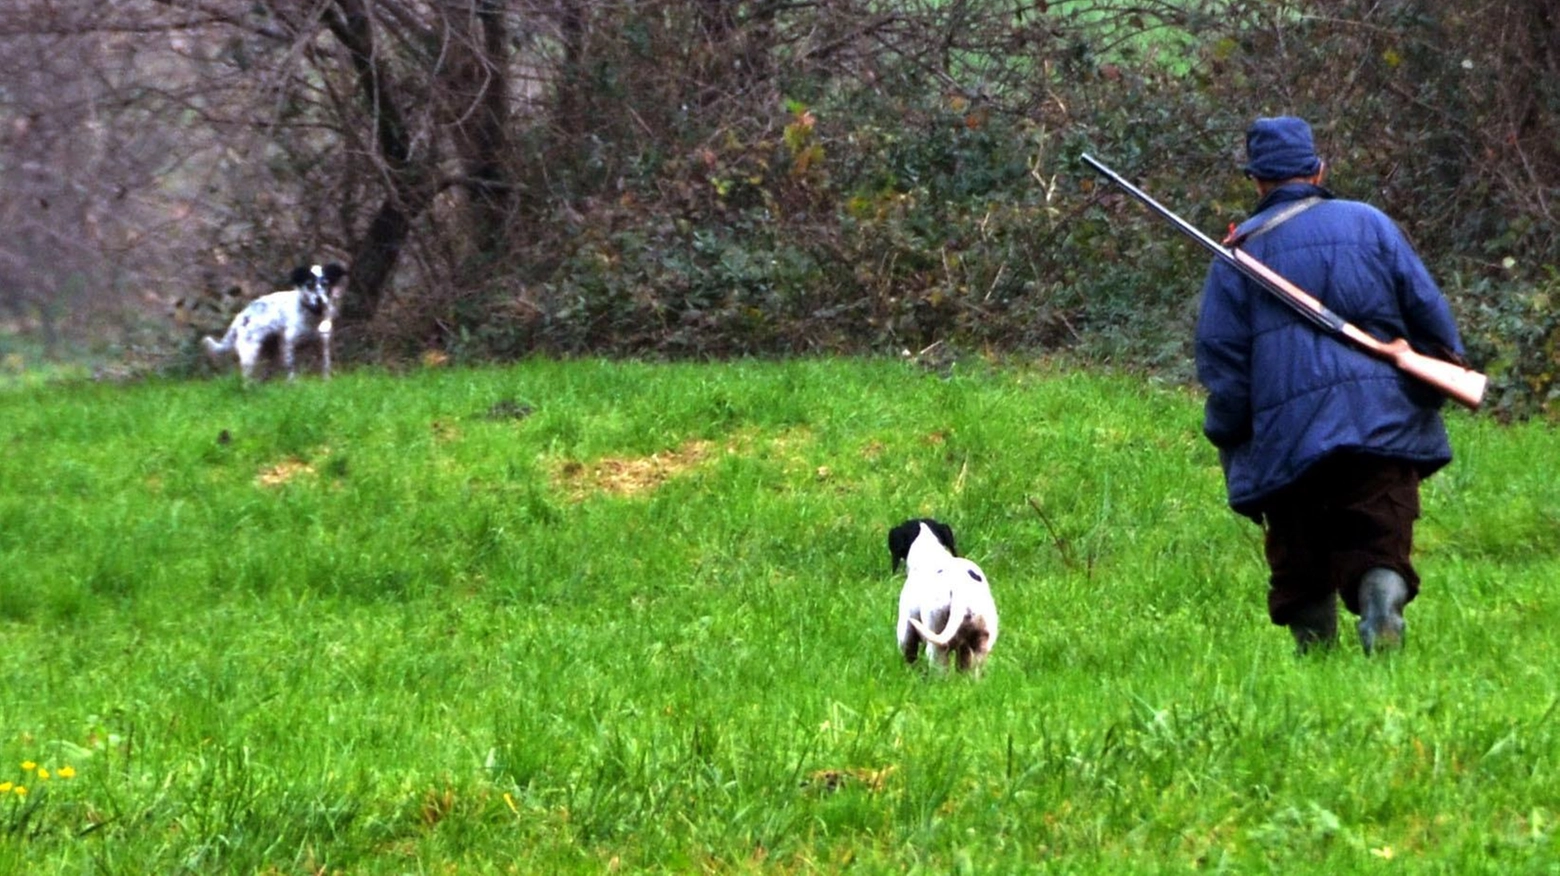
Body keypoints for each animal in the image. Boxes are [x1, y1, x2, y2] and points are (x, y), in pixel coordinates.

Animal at [204, 261, 347, 378]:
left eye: (325, 284)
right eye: (309, 285)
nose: (319, 299)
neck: (311, 315)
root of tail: (243, 314)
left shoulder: (322, 343)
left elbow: (325, 365)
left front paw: (326, 381)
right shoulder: (288, 343)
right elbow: (291, 367)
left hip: (268, 349)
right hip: (250, 351)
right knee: (247, 376)